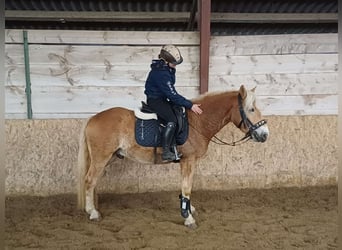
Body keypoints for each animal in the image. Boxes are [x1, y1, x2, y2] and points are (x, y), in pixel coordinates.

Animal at [77, 85, 270, 229]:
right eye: (251, 109)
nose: (265, 134)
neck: (197, 121)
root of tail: (92, 118)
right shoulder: (188, 160)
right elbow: (187, 187)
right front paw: (188, 217)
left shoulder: (188, 162)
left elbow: (186, 185)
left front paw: (189, 208)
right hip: (101, 158)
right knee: (89, 180)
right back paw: (93, 212)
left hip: (108, 158)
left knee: (93, 182)